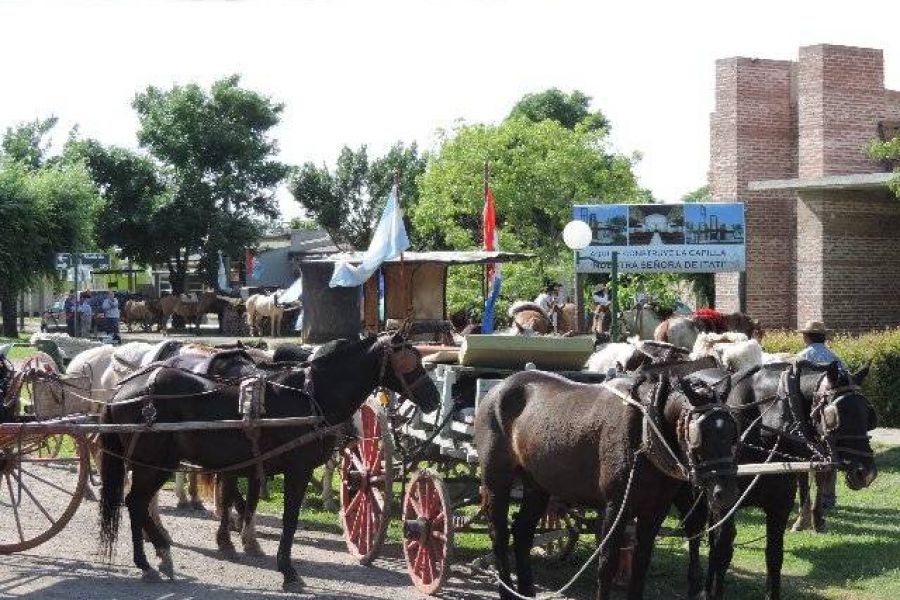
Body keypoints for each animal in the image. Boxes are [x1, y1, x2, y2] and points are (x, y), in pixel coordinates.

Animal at [100, 332, 442, 592]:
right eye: (409, 361)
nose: (434, 399)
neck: (310, 395)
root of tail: (123, 391)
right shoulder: (297, 470)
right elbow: (289, 520)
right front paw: (288, 571)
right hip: (152, 462)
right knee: (136, 502)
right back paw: (151, 558)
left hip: (152, 464)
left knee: (136, 503)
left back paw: (155, 555)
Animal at [474, 370, 740, 600]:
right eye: (700, 433)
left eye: (733, 432)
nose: (726, 493)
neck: (645, 431)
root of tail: (498, 388)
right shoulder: (616, 506)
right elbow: (607, 563)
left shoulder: (655, 511)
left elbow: (640, 563)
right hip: (496, 480)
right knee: (499, 534)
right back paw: (506, 590)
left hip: (537, 484)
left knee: (522, 532)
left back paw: (526, 591)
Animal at [676, 358, 880, 596]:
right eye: (835, 415)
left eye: (868, 413)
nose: (866, 473)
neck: (760, 428)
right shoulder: (724, 503)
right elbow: (722, 553)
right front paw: (711, 590)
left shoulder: (779, 506)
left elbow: (774, 556)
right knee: (694, 529)